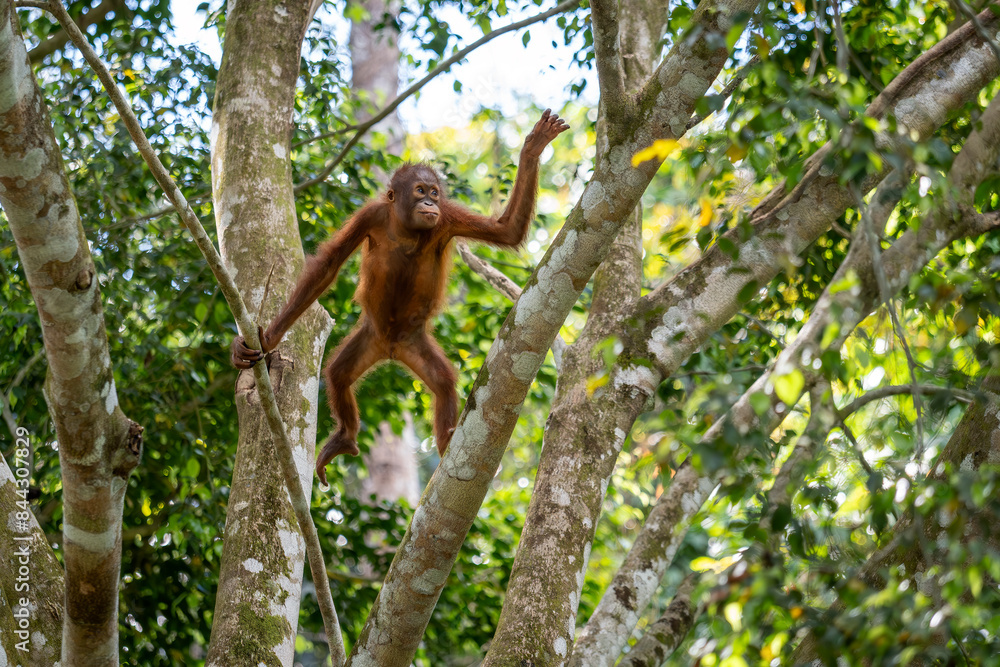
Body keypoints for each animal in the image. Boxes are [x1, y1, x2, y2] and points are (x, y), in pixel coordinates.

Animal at [232, 109, 569, 485]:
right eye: (419, 190)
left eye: (434, 192)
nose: (429, 202)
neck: (407, 227)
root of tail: (391, 349)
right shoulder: (371, 215)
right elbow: (327, 267)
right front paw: (266, 339)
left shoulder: (447, 217)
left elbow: (506, 230)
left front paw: (533, 148)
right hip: (370, 337)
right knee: (338, 374)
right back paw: (345, 438)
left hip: (414, 342)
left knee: (443, 383)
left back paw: (445, 443)